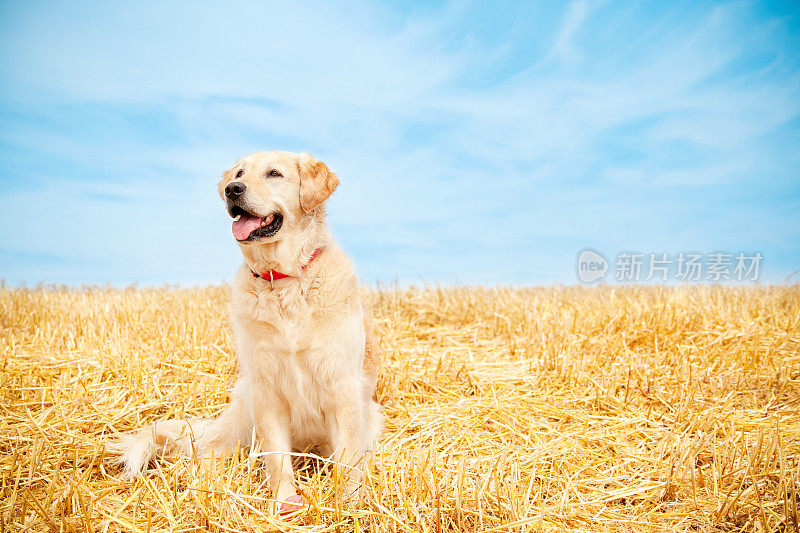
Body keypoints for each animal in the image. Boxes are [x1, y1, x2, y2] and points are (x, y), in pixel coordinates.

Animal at [114, 151, 382, 512]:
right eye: (239, 174)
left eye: (274, 174)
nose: (232, 189)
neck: (283, 279)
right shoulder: (266, 389)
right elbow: (278, 459)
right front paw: (285, 503)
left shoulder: (343, 386)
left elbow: (349, 458)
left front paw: (348, 504)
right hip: (243, 416)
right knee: (205, 451)